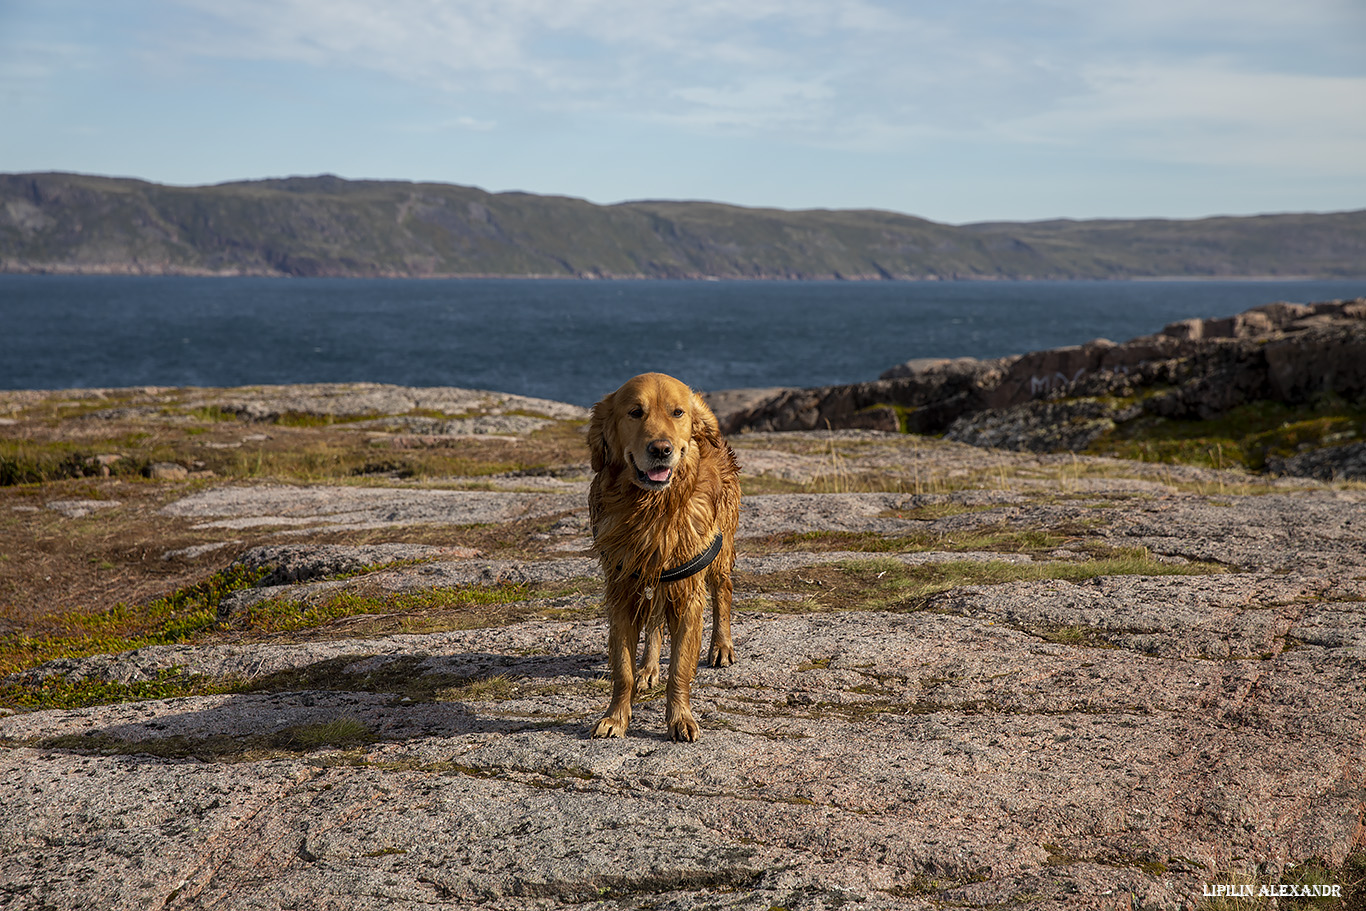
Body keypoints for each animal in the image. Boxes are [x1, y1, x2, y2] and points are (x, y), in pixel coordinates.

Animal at [584, 371, 737, 743]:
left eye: (677, 412)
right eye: (635, 412)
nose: (661, 449)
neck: (653, 510)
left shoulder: (689, 593)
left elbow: (680, 668)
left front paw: (681, 719)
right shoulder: (622, 591)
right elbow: (623, 670)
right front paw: (615, 717)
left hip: (719, 555)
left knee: (723, 592)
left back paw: (721, 646)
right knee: (654, 624)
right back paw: (649, 667)